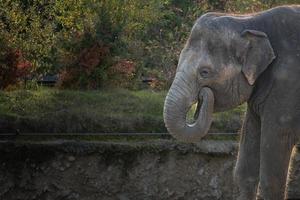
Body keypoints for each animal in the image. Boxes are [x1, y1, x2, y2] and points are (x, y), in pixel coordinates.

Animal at [163, 5, 300, 200]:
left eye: (204, 72)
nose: (203, 95)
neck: (250, 21)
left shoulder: (288, 85)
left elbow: (275, 152)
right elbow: (244, 170)